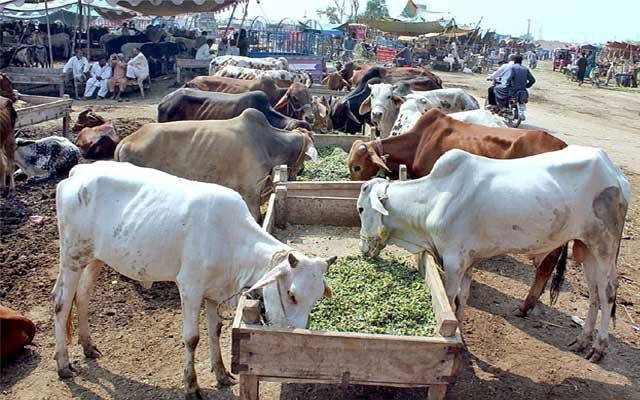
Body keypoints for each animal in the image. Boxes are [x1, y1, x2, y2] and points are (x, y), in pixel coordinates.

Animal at [52, 160, 338, 396]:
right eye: (291, 294)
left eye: (316, 299)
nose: (299, 335)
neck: (231, 240)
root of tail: (79, 171)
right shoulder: (190, 287)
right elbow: (192, 338)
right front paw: (191, 386)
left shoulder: (214, 292)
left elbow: (215, 330)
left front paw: (222, 374)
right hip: (71, 257)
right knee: (61, 302)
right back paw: (63, 364)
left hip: (96, 258)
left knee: (83, 296)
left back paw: (89, 346)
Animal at [358, 145, 632, 360]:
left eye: (361, 209)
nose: (362, 249)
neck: (433, 199)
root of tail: (616, 173)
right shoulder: (468, 261)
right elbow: (462, 298)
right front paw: (463, 337)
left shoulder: (454, 262)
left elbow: (450, 298)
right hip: (587, 247)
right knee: (595, 292)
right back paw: (583, 340)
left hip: (605, 246)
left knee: (608, 292)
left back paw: (599, 347)